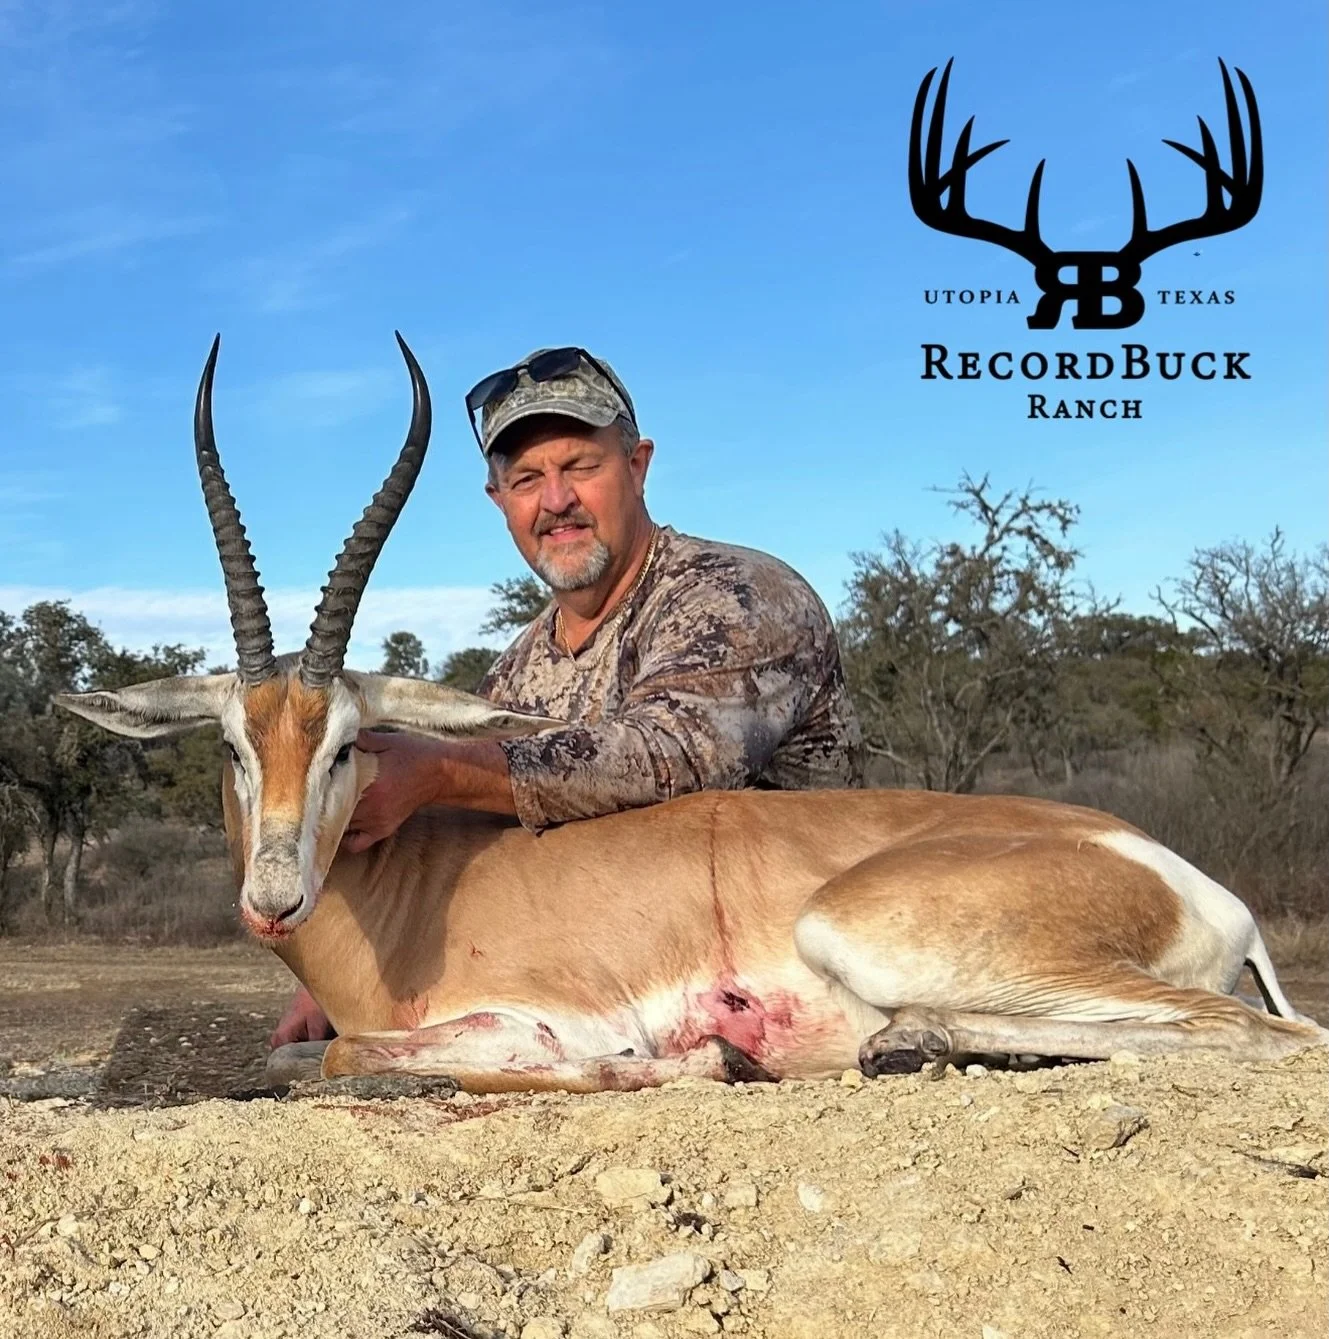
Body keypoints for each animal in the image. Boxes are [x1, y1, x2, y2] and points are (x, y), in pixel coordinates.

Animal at [56, 337, 1325, 1093]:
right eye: (232, 744)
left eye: (348, 745)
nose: (274, 896)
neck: (405, 900)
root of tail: (1188, 876)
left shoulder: (537, 1018)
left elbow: (351, 1061)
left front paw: (687, 1059)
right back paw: (904, 1043)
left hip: (864, 930)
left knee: (1268, 1033)